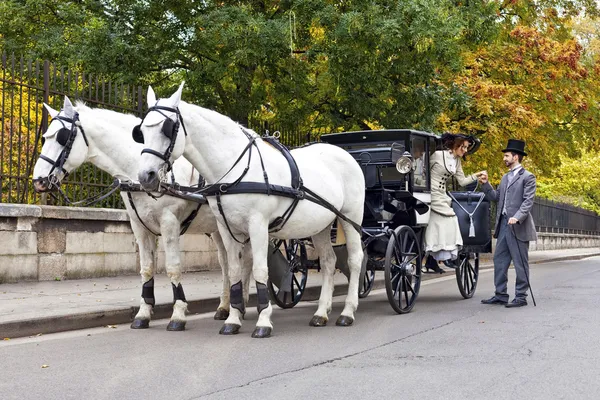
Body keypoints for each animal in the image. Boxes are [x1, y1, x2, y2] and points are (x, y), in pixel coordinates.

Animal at [32, 97, 251, 332]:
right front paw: (143, 314)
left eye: (63, 138)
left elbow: (173, 268)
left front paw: (178, 315)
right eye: (45, 137)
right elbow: (146, 268)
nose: (39, 181)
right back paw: (227, 307)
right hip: (220, 227)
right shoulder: (139, 226)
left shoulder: (169, 223)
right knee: (228, 263)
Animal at [136, 83, 366, 338]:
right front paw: (233, 319)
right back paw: (321, 312)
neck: (235, 170)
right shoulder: (227, 229)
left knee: (355, 259)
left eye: (167, 129)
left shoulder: (258, 225)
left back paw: (348, 311)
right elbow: (235, 270)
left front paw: (263, 321)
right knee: (328, 261)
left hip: (351, 216)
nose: (145, 176)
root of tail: (345, 154)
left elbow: (259, 270)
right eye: (142, 131)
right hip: (321, 225)